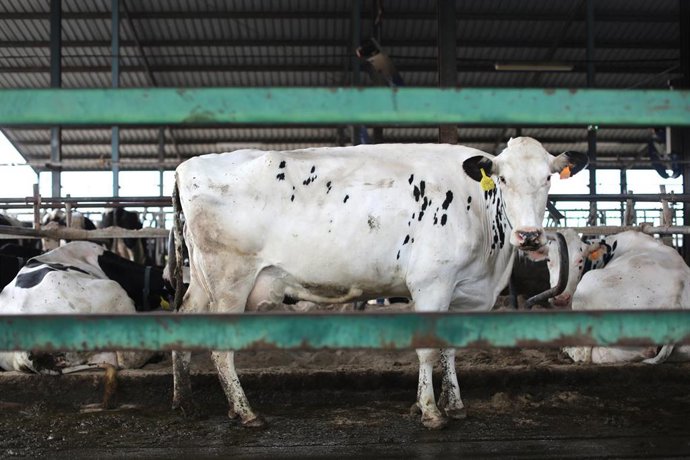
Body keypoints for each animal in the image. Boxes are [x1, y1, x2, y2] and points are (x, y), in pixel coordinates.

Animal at [169, 138, 588, 429]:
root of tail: (186, 166)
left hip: (204, 283)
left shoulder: (464, 291)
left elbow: (450, 349)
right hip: (230, 280)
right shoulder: (431, 282)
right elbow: (427, 350)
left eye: (547, 179)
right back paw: (245, 413)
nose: (529, 236)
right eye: (502, 179)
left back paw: (185, 402)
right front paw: (430, 412)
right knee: (221, 349)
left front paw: (454, 405)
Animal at [546, 229, 690, 364]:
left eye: (580, 260)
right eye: (548, 260)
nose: (560, 298)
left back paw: (566, 350)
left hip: (588, 285)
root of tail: (675, 301)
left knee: (585, 353)